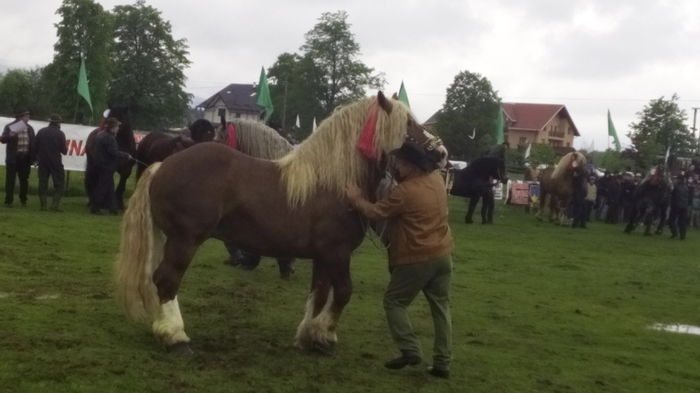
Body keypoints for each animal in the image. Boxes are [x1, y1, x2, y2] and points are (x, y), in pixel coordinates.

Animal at [114, 92, 442, 356]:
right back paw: (175, 337)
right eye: (407, 124)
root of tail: (161, 167)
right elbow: (343, 292)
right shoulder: (337, 253)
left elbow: (319, 294)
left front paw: (308, 336)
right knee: (166, 280)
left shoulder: (323, 256)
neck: (333, 182)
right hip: (184, 240)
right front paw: (325, 336)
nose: (441, 153)